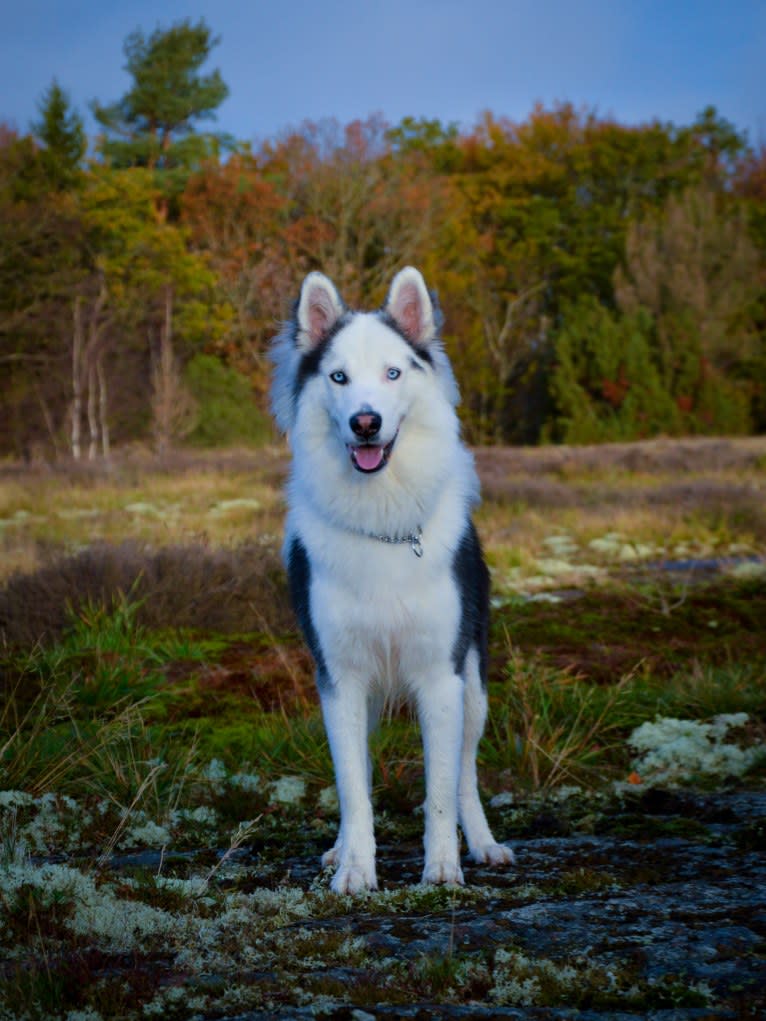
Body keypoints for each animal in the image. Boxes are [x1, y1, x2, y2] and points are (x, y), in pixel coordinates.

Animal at [269, 267, 516, 890]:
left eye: (393, 373)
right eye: (338, 377)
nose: (365, 422)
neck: (380, 518)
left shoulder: (441, 678)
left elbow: (441, 789)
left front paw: (443, 866)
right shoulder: (340, 681)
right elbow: (354, 790)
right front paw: (356, 869)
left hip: (474, 689)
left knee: (467, 775)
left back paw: (482, 844)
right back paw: (339, 850)